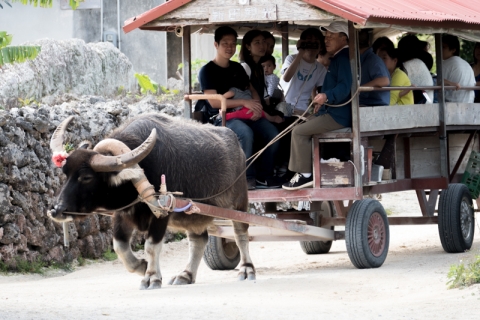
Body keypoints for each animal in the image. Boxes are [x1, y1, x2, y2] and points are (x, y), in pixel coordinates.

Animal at [47, 114, 255, 288]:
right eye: (65, 173)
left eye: (86, 177)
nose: (56, 210)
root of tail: (237, 146)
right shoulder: (123, 214)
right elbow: (120, 247)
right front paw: (141, 266)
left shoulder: (162, 213)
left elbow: (151, 246)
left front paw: (152, 277)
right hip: (194, 214)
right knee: (198, 240)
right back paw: (185, 275)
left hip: (239, 203)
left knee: (240, 233)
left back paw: (247, 269)